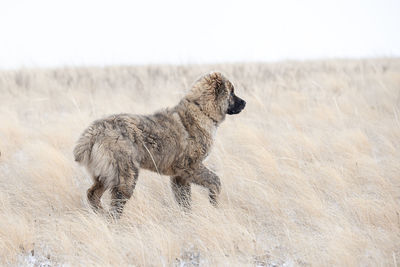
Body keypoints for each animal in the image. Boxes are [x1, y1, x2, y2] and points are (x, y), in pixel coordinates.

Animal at [73, 72, 245, 219]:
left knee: (92, 194)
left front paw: (188, 218)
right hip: (125, 174)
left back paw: (100, 213)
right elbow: (215, 180)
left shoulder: (179, 175)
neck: (201, 110)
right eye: (232, 92)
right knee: (116, 203)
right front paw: (213, 202)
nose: (244, 103)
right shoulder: (190, 166)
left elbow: (184, 200)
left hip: (105, 174)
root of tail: (94, 131)